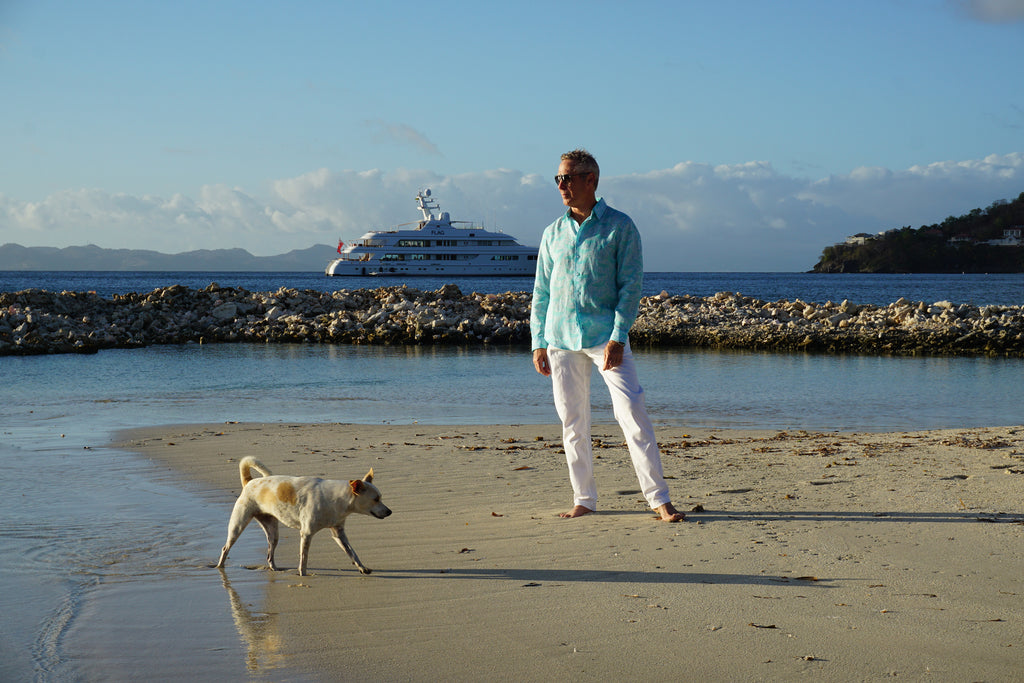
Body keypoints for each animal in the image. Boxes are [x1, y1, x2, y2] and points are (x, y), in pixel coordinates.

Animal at [216, 456, 391, 573]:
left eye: (380, 497)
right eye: (376, 499)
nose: (390, 512)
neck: (337, 499)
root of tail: (249, 482)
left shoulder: (338, 533)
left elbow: (352, 552)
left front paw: (362, 567)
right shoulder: (306, 533)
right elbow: (304, 558)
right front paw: (303, 574)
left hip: (272, 531)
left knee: (270, 553)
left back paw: (275, 569)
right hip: (238, 524)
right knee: (225, 547)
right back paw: (220, 566)